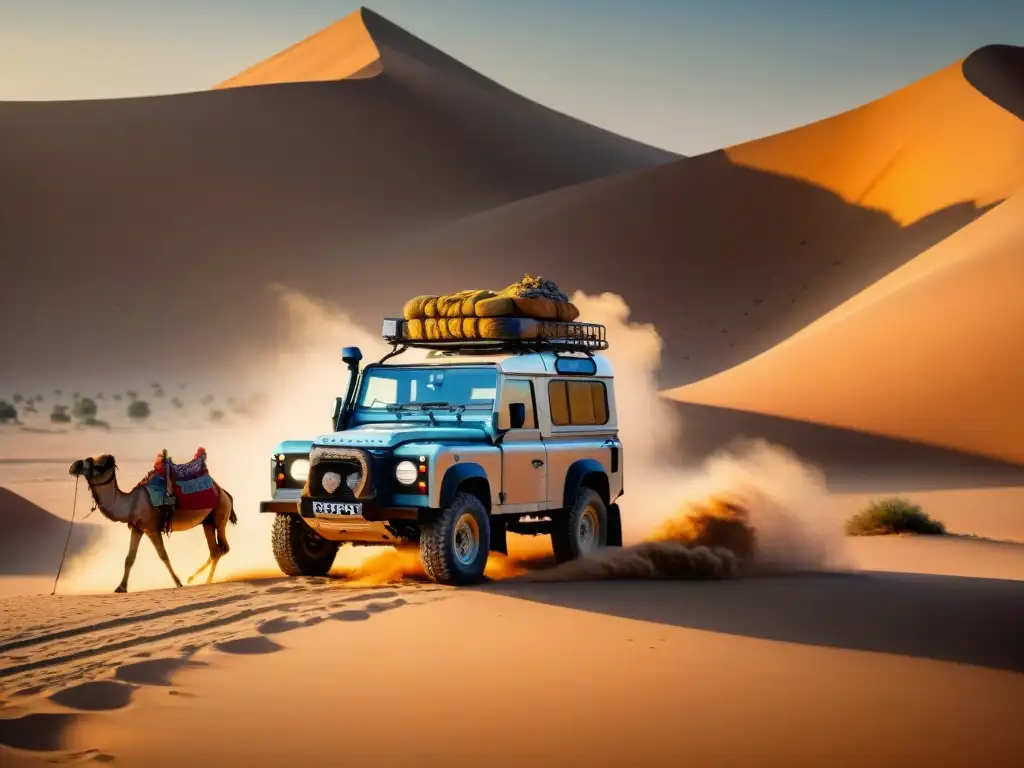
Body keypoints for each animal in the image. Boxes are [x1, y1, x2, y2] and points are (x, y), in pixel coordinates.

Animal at [67, 456, 236, 593]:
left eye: (97, 466)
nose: (74, 466)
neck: (131, 503)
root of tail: (225, 493)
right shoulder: (137, 528)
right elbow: (129, 558)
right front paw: (120, 587)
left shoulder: (152, 529)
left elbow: (163, 555)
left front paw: (178, 582)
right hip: (207, 521)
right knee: (215, 550)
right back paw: (195, 578)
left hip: (220, 515)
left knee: (223, 548)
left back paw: (203, 580)